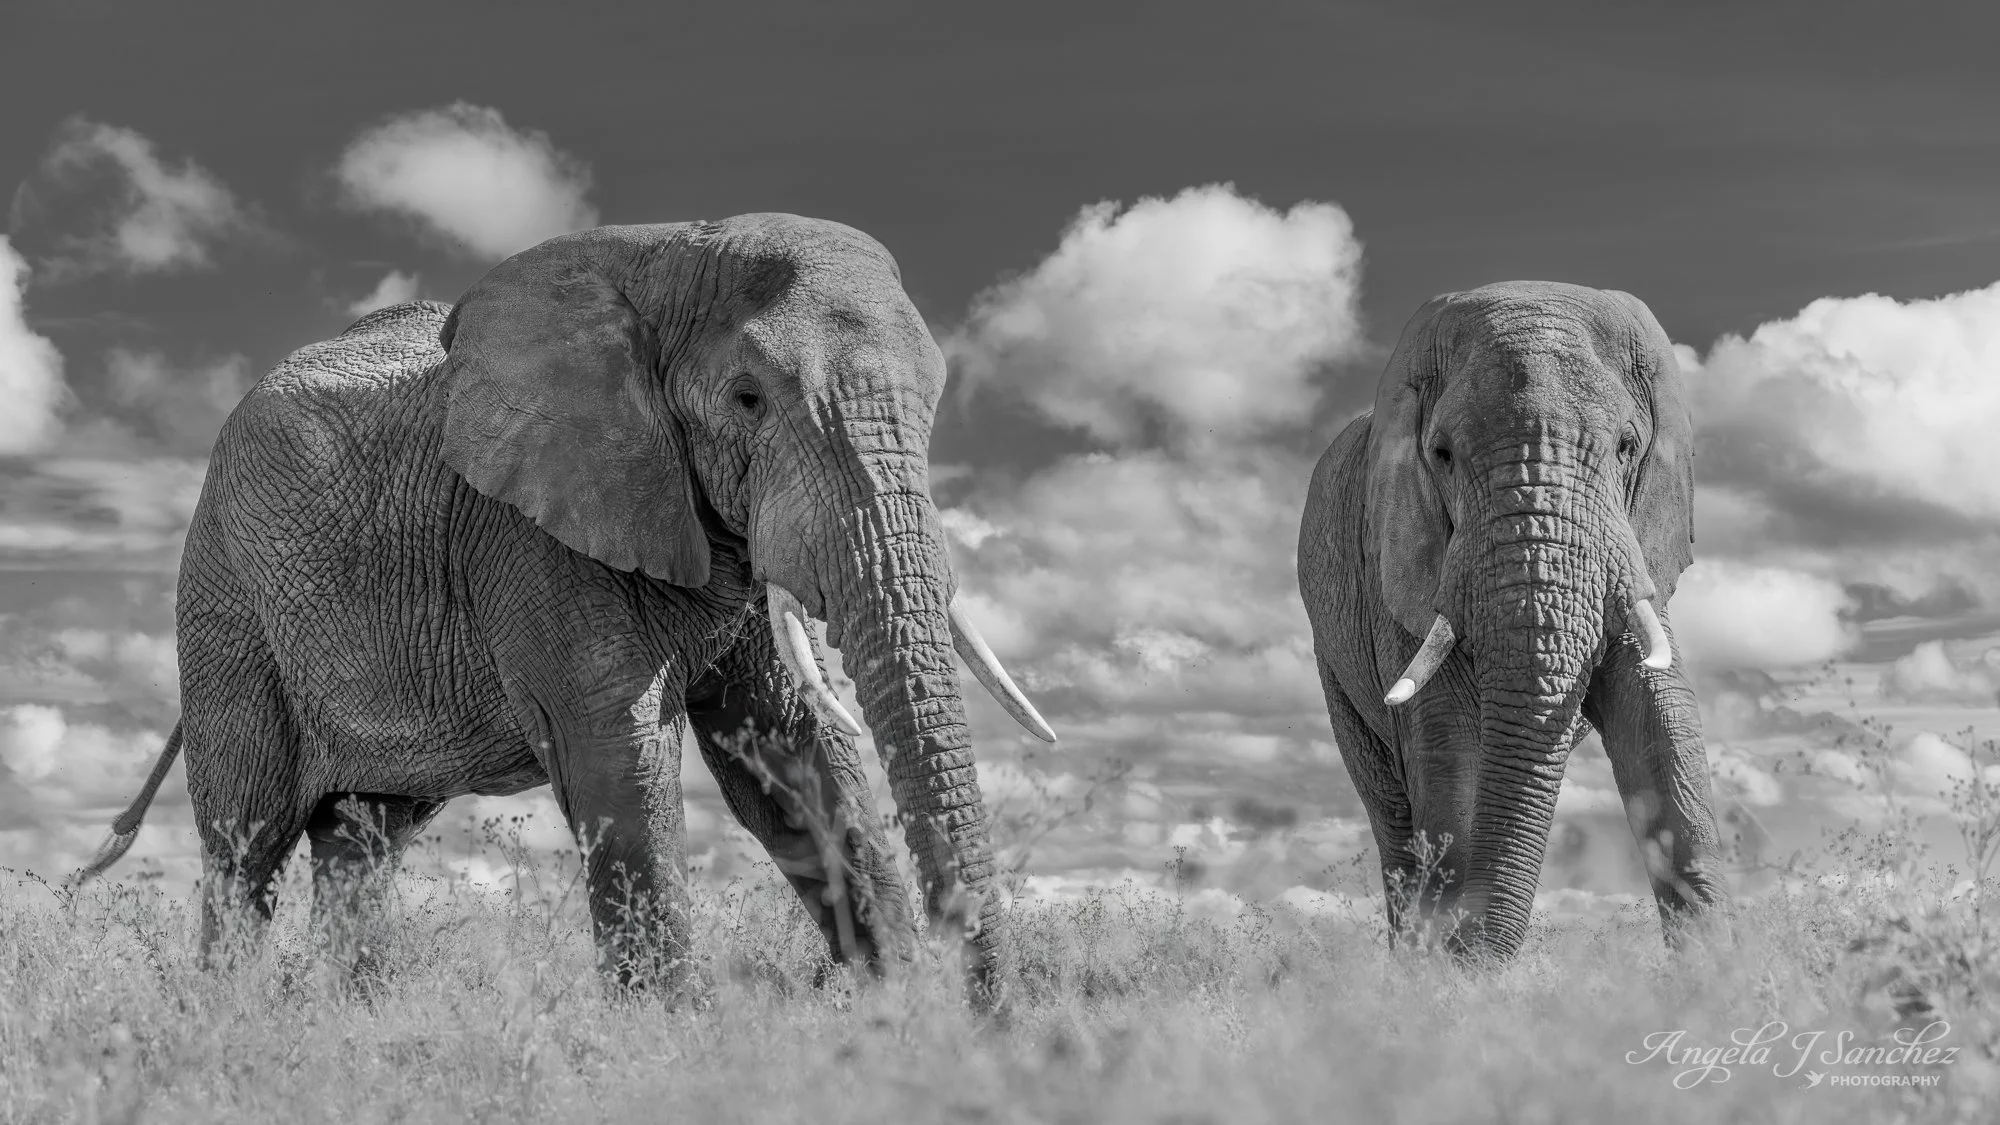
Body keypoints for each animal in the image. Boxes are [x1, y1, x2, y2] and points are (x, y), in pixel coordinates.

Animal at [74, 214, 1056, 1000]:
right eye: (748, 398)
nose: (993, 1023)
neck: (666, 254)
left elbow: (789, 749)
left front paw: (900, 1013)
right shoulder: (527, 532)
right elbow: (617, 748)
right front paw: (672, 1037)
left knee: (366, 840)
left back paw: (362, 1022)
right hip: (226, 599)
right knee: (247, 842)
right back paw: (227, 1022)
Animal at [1296, 280, 1726, 960]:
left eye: (1627, 447)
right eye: (1442, 454)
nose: (1471, 957)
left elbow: (1660, 729)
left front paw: (1722, 976)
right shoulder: (1400, 567)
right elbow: (1452, 758)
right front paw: (1445, 971)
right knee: (1394, 820)